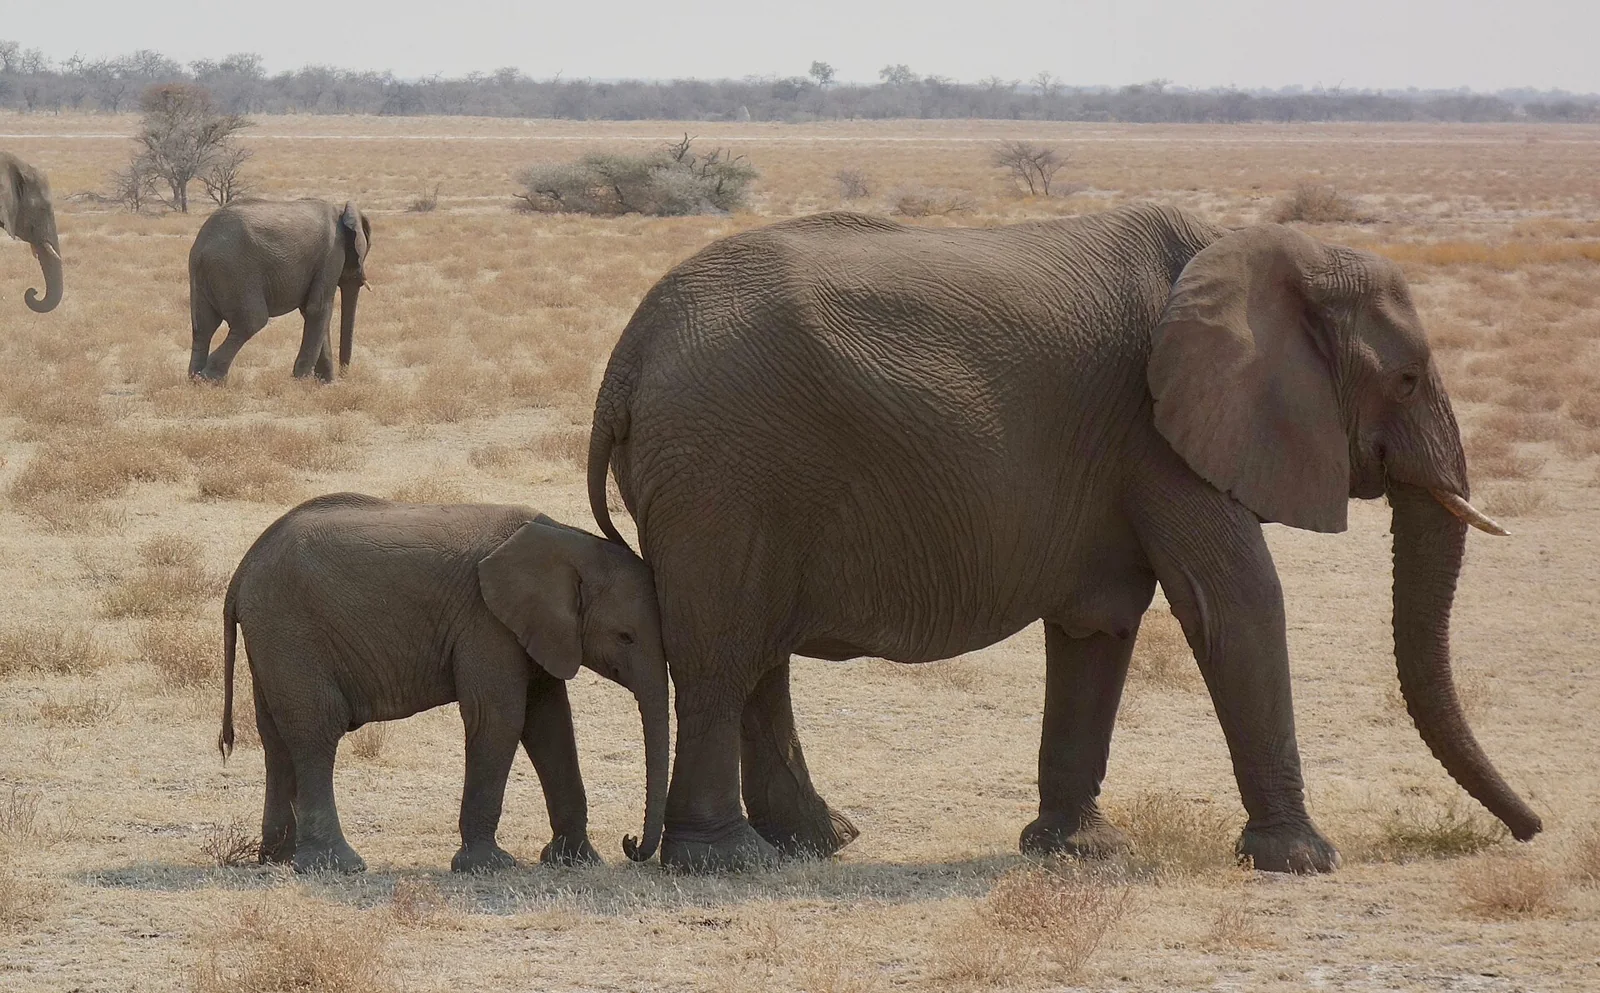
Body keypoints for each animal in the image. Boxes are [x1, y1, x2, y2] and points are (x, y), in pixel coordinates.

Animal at [188, 198, 371, 383]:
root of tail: (202, 246)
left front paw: (324, 383)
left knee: (204, 327)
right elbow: (318, 308)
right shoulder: (331, 255)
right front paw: (302, 382)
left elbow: (311, 311)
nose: (343, 374)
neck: (341, 209)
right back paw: (209, 379)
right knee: (251, 322)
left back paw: (196, 379)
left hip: (204, 276)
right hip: (234, 273)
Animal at [218, 492, 668, 874]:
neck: (568, 543)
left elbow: (550, 723)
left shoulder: (536, 629)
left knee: (276, 739)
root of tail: (241, 572)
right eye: (626, 637)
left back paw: (277, 858)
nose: (630, 843)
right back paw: (337, 865)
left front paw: (577, 861)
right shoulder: (486, 622)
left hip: (273, 636)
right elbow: (499, 718)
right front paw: (486, 866)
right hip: (290, 629)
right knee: (317, 730)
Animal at [585, 202, 1542, 873]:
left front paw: (1078, 849)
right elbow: (1235, 601)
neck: (1262, 252)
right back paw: (728, 861)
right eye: (1408, 378)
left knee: (758, 655)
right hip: (724, 467)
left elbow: (1099, 625)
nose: (1531, 827)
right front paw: (1304, 861)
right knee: (722, 654)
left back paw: (819, 841)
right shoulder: (1159, 432)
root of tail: (629, 354)